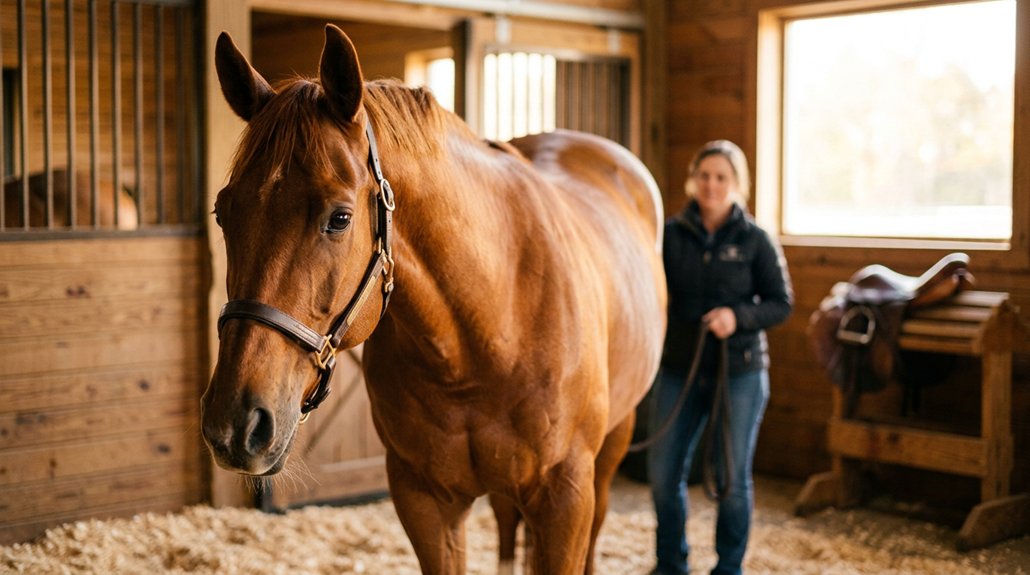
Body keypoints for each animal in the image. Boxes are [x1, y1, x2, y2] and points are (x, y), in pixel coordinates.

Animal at [201, 24, 666, 574]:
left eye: (339, 218)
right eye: (223, 212)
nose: (235, 423)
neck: (488, 330)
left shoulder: (566, 499)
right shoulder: (424, 500)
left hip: (612, 447)